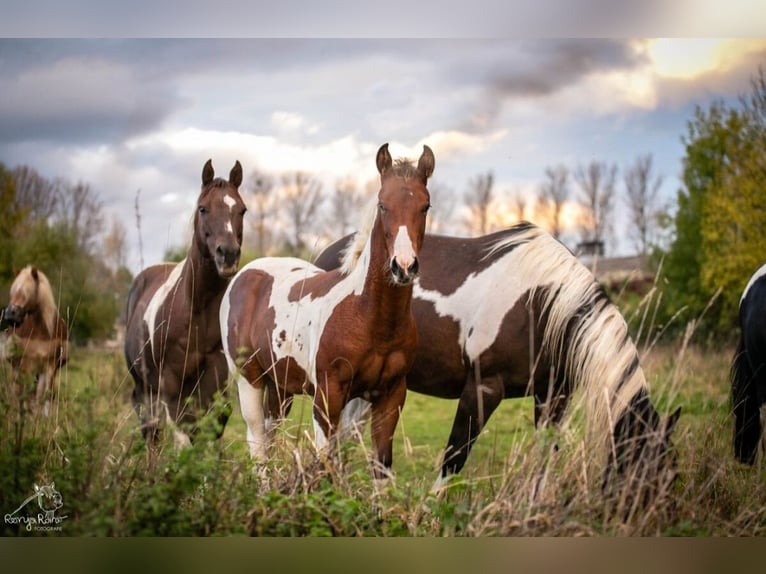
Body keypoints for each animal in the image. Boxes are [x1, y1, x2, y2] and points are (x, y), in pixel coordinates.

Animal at [0, 268, 70, 416]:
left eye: (27, 292)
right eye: (12, 292)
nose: (9, 315)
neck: (41, 332)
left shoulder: (49, 366)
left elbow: (45, 395)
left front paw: (44, 419)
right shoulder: (27, 366)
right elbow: (27, 396)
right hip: (17, 369)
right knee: (19, 392)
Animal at [124, 160, 246, 448]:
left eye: (242, 210)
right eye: (203, 208)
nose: (228, 254)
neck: (194, 310)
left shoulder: (216, 381)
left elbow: (209, 432)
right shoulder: (169, 385)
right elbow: (182, 436)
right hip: (144, 387)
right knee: (151, 431)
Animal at [222, 144, 436, 490]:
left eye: (425, 206)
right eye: (383, 205)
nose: (403, 266)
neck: (369, 318)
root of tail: (246, 273)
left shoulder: (390, 397)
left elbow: (380, 467)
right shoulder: (327, 396)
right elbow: (326, 466)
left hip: (280, 386)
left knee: (271, 433)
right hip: (249, 379)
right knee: (257, 442)